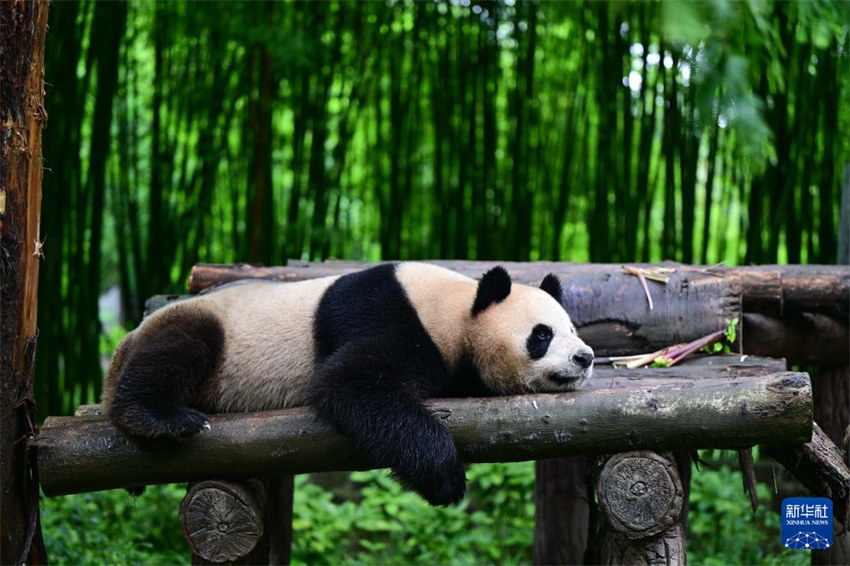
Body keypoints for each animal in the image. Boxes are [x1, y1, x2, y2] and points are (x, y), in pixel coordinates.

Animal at [103, 262, 594, 505]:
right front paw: (446, 478)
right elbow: (349, 384)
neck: (455, 309)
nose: (585, 358)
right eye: (542, 335)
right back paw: (162, 418)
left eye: (573, 328)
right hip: (208, 330)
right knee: (180, 349)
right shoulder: (388, 315)